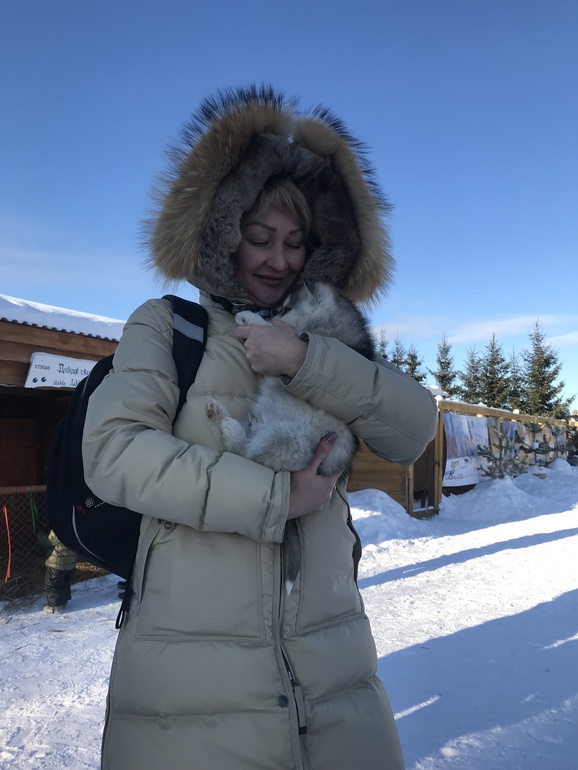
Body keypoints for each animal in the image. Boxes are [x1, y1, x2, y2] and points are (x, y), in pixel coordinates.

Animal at [206, 281, 375, 591]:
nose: (266, 312)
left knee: (246, 452)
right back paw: (220, 416)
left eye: (283, 309)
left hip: (286, 437)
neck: (327, 326)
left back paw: (228, 428)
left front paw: (251, 320)